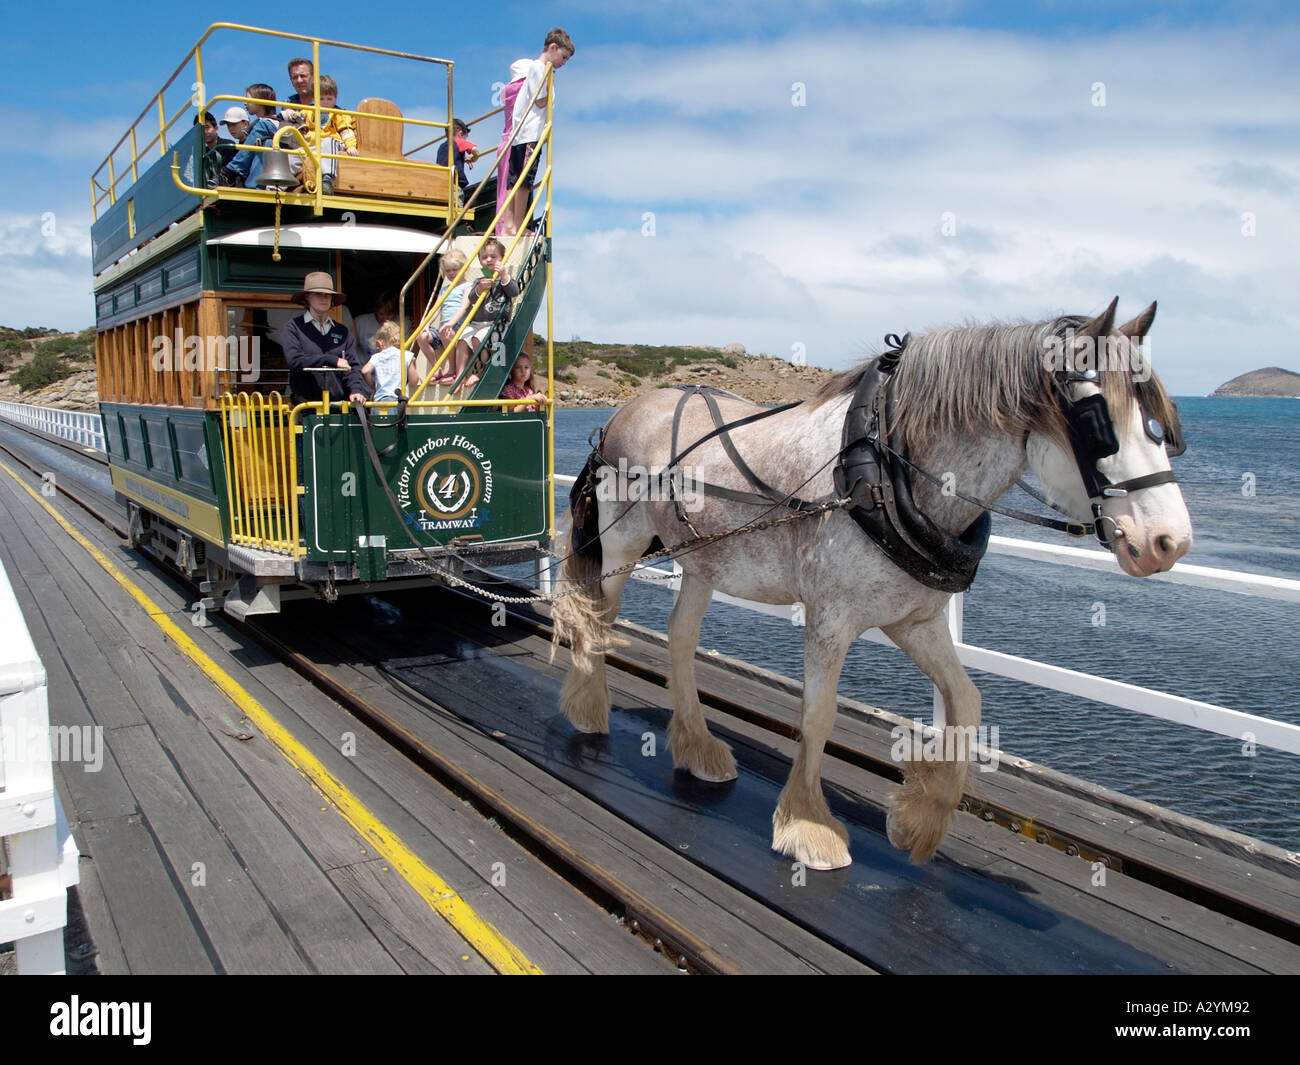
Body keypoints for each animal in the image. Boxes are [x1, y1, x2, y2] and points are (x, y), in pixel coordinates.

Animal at [548, 295, 1190, 868]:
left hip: (703, 559)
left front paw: (921, 817)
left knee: (680, 637)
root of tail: (625, 411)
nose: (1171, 541)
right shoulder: (830, 619)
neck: (886, 467)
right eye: (1099, 426)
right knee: (597, 617)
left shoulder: (916, 619)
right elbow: (819, 713)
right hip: (623, 543)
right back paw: (588, 707)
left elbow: (967, 701)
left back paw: (696, 745)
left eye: (1162, 426)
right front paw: (808, 825)